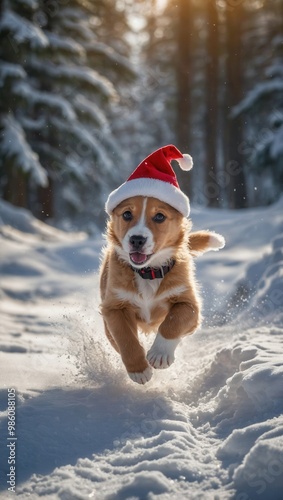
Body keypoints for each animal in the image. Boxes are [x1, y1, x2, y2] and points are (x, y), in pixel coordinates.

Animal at [98, 194, 225, 382]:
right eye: (127, 214)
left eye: (159, 216)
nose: (137, 239)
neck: (148, 272)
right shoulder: (113, 307)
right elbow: (125, 337)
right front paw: (139, 370)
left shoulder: (189, 304)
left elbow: (173, 321)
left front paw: (160, 354)